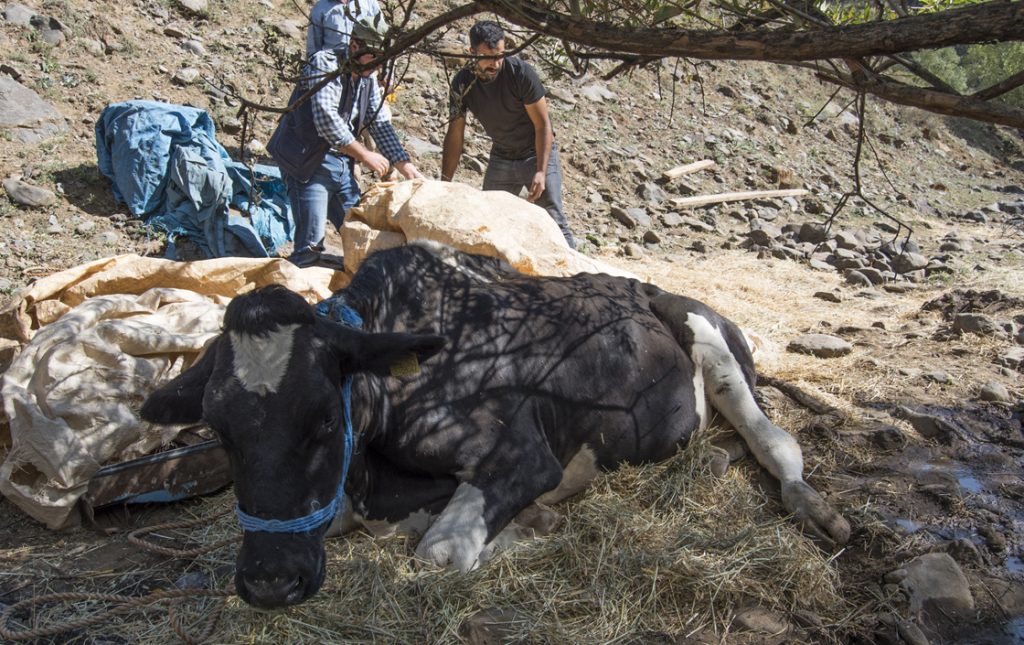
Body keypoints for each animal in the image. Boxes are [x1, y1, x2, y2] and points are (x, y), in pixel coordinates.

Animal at [142, 242, 847, 610]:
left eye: (321, 419)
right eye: (220, 430)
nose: (269, 582)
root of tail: (643, 286)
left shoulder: (522, 456)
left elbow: (439, 554)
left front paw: (534, 526)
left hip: (707, 335)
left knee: (774, 440)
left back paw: (817, 508)